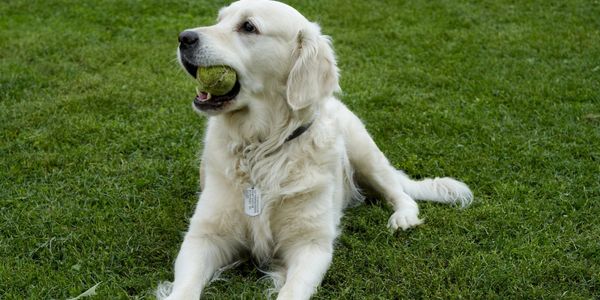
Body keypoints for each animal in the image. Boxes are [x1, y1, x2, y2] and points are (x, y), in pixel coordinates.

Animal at [161, 1, 474, 298]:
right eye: (219, 19)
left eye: (248, 26)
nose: (183, 37)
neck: (262, 148)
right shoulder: (203, 235)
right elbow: (184, 288)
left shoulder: (311, 244)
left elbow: (292, 290)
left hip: (364, 152)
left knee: (400, 193)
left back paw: (403, 217)